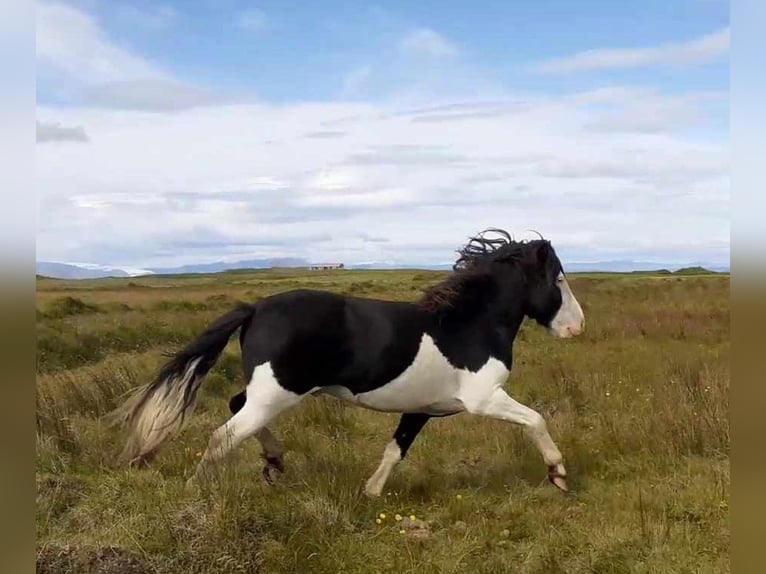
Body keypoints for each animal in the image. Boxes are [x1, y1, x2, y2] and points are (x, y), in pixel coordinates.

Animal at [110, 228, 585, 496]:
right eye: (559, 279)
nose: (577, 327)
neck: (468, 324)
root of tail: (256, 308)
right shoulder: (483, 398)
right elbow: (536, 419)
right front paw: (558, 474)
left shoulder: (421, 409)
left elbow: (395, 450)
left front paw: (369, 494)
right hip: (275, 393)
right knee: (223, 435)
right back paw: (198, 490)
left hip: (268, 392)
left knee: (234, 406)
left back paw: (275, 462)